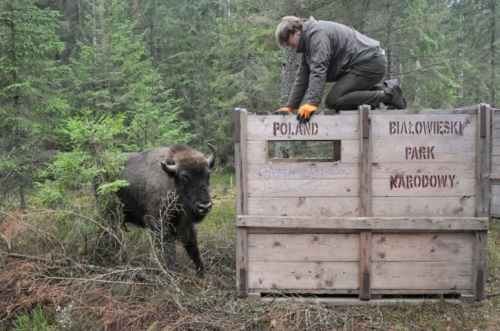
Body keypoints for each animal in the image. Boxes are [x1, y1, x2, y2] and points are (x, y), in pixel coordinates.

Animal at [116, 144, 215, 276]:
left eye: (207, 175)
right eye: (184, 179)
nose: (204, 206)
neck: (172, 182)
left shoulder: (187, 225)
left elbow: (193, 248)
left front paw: (203, 273)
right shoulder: (160, 224)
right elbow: (169, 250)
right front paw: (174, 274)